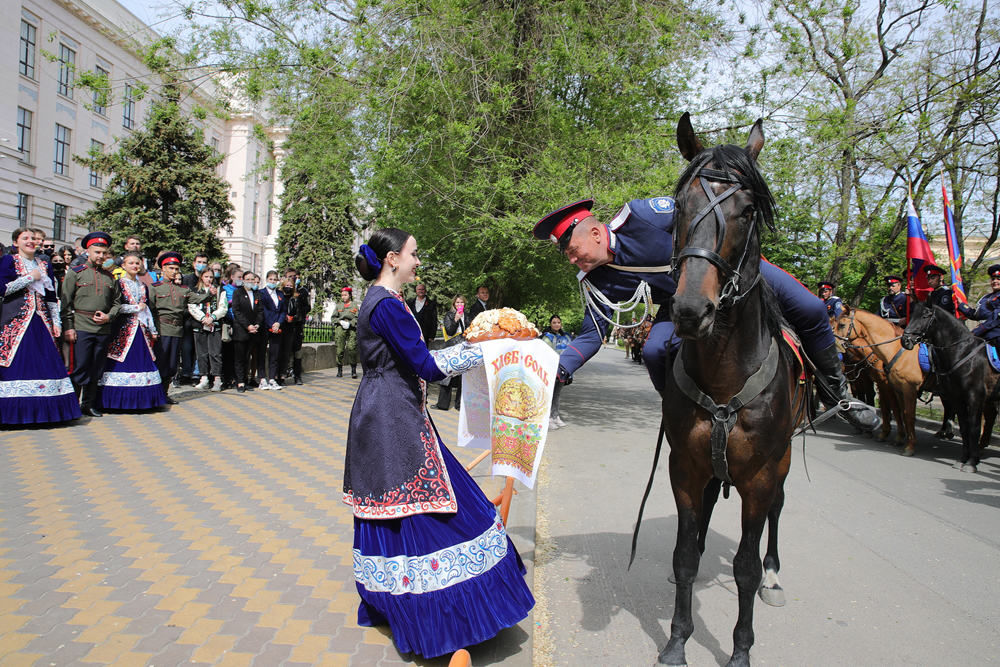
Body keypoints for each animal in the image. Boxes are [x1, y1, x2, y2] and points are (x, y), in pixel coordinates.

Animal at [660, 115, 808, 667]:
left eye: (747, 211)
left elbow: (744, 567)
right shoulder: (684, 466)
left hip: (781, 465)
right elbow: (683, 554)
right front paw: (677, 641)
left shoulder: (761, 477)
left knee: (777, 515)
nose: (689, 310)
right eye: (679, 206)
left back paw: (774, 575)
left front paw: (741, 649)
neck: (724, 376)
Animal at [904, 300, 996, 472]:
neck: (963, 353)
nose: (905, 340)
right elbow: (965, 427)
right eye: (912, 314)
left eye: (925, 316)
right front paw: (963, 459)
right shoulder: (956, 397)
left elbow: (974, 428)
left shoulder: (975, 398)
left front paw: (971, 462)